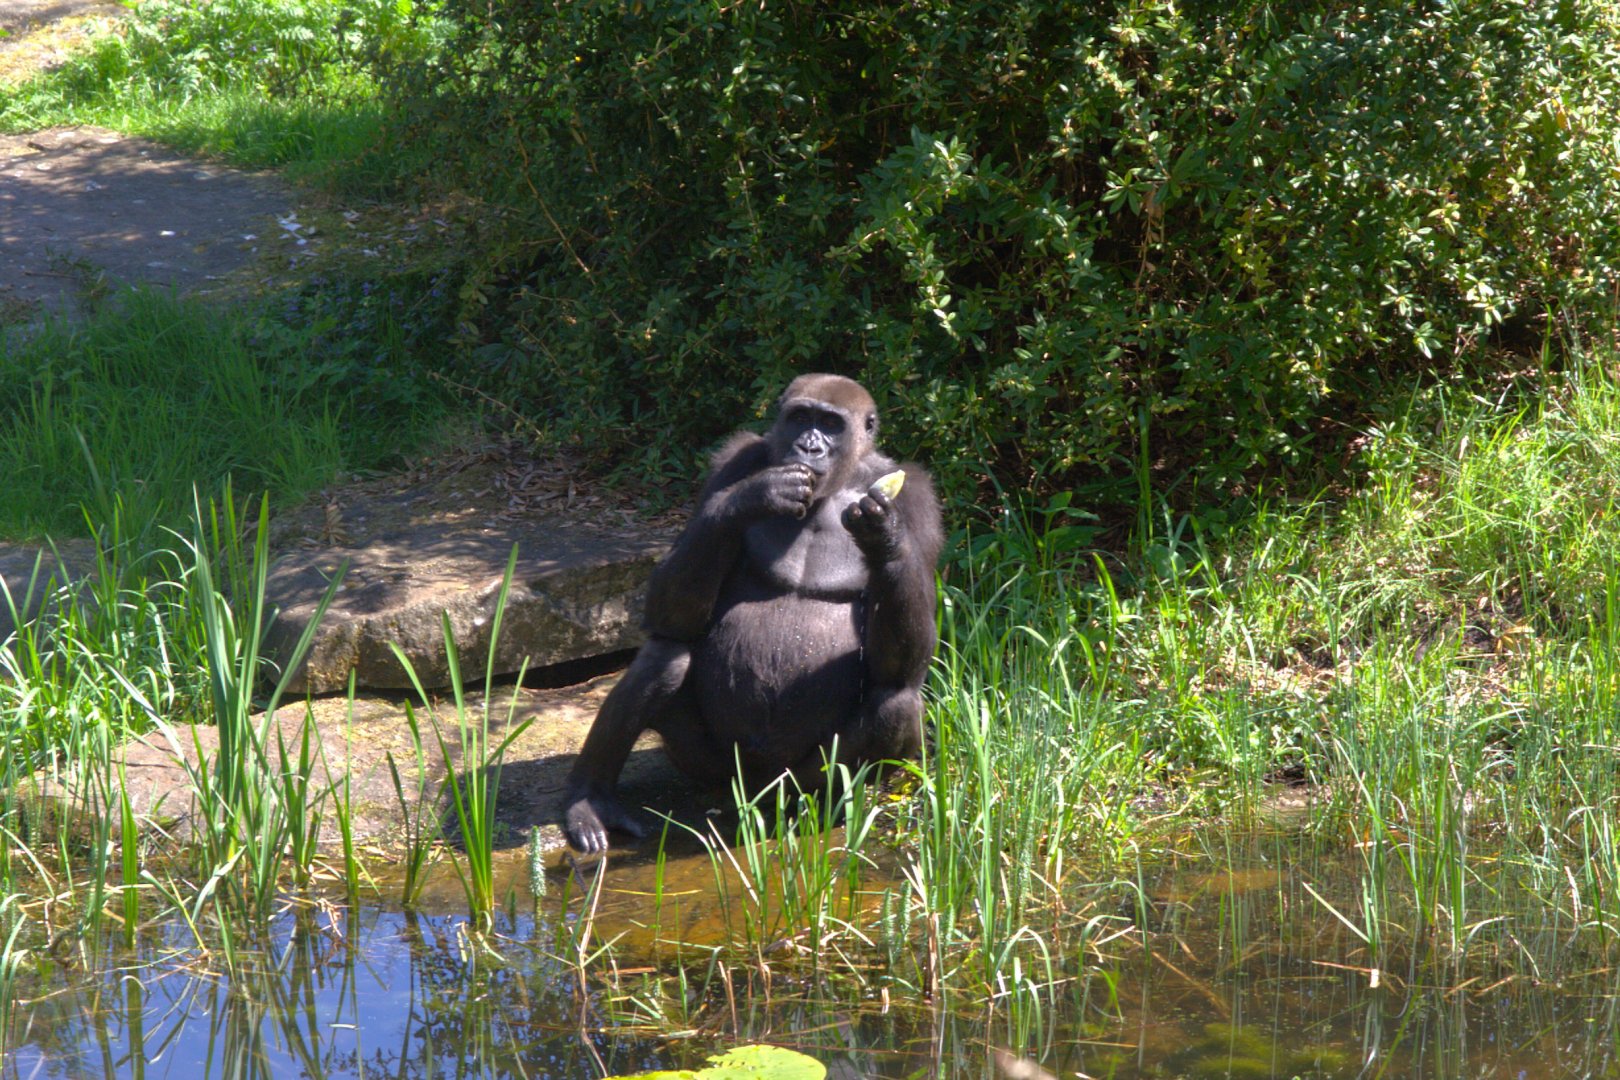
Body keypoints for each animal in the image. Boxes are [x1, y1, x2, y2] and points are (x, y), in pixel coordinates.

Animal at [560, 374, 944, 853]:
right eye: (800, 417)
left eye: (831, 425)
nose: (809, 447)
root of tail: (762, 791)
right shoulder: (734, 460)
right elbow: (670, 614)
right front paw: (751, 497)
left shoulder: (917, 498)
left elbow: (903, 666)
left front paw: (884, 535)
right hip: (719, 771)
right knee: (664, 657)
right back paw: (590, 798)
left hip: (796, 782)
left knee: (895, 701)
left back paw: (834, 805)